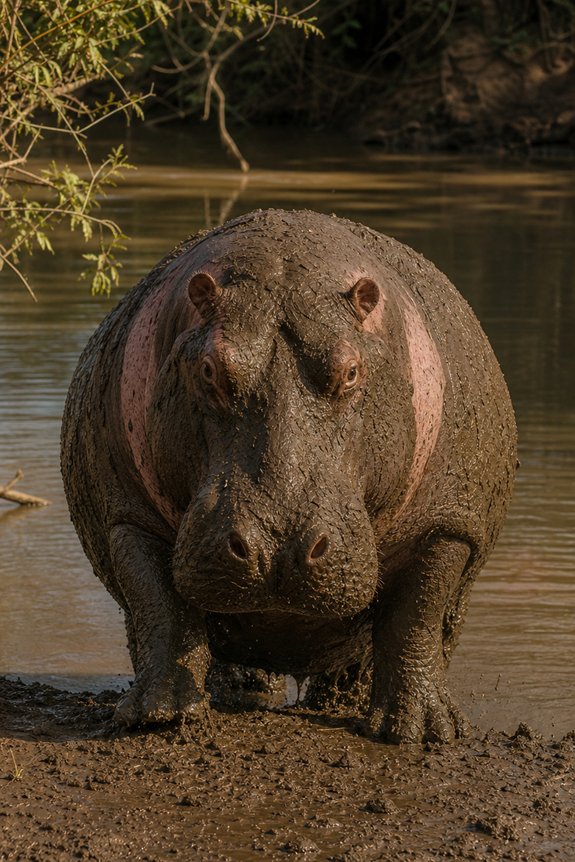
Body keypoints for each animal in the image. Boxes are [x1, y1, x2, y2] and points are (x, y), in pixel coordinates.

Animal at [61, 208, 517, 743]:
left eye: (351, 371)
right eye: (210, 368)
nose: (276, 548)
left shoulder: (448, 527)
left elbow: (418, 613)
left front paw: (422, 732)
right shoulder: (128, 517)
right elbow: (158, 605)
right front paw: (160, 716)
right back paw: (239, 695)